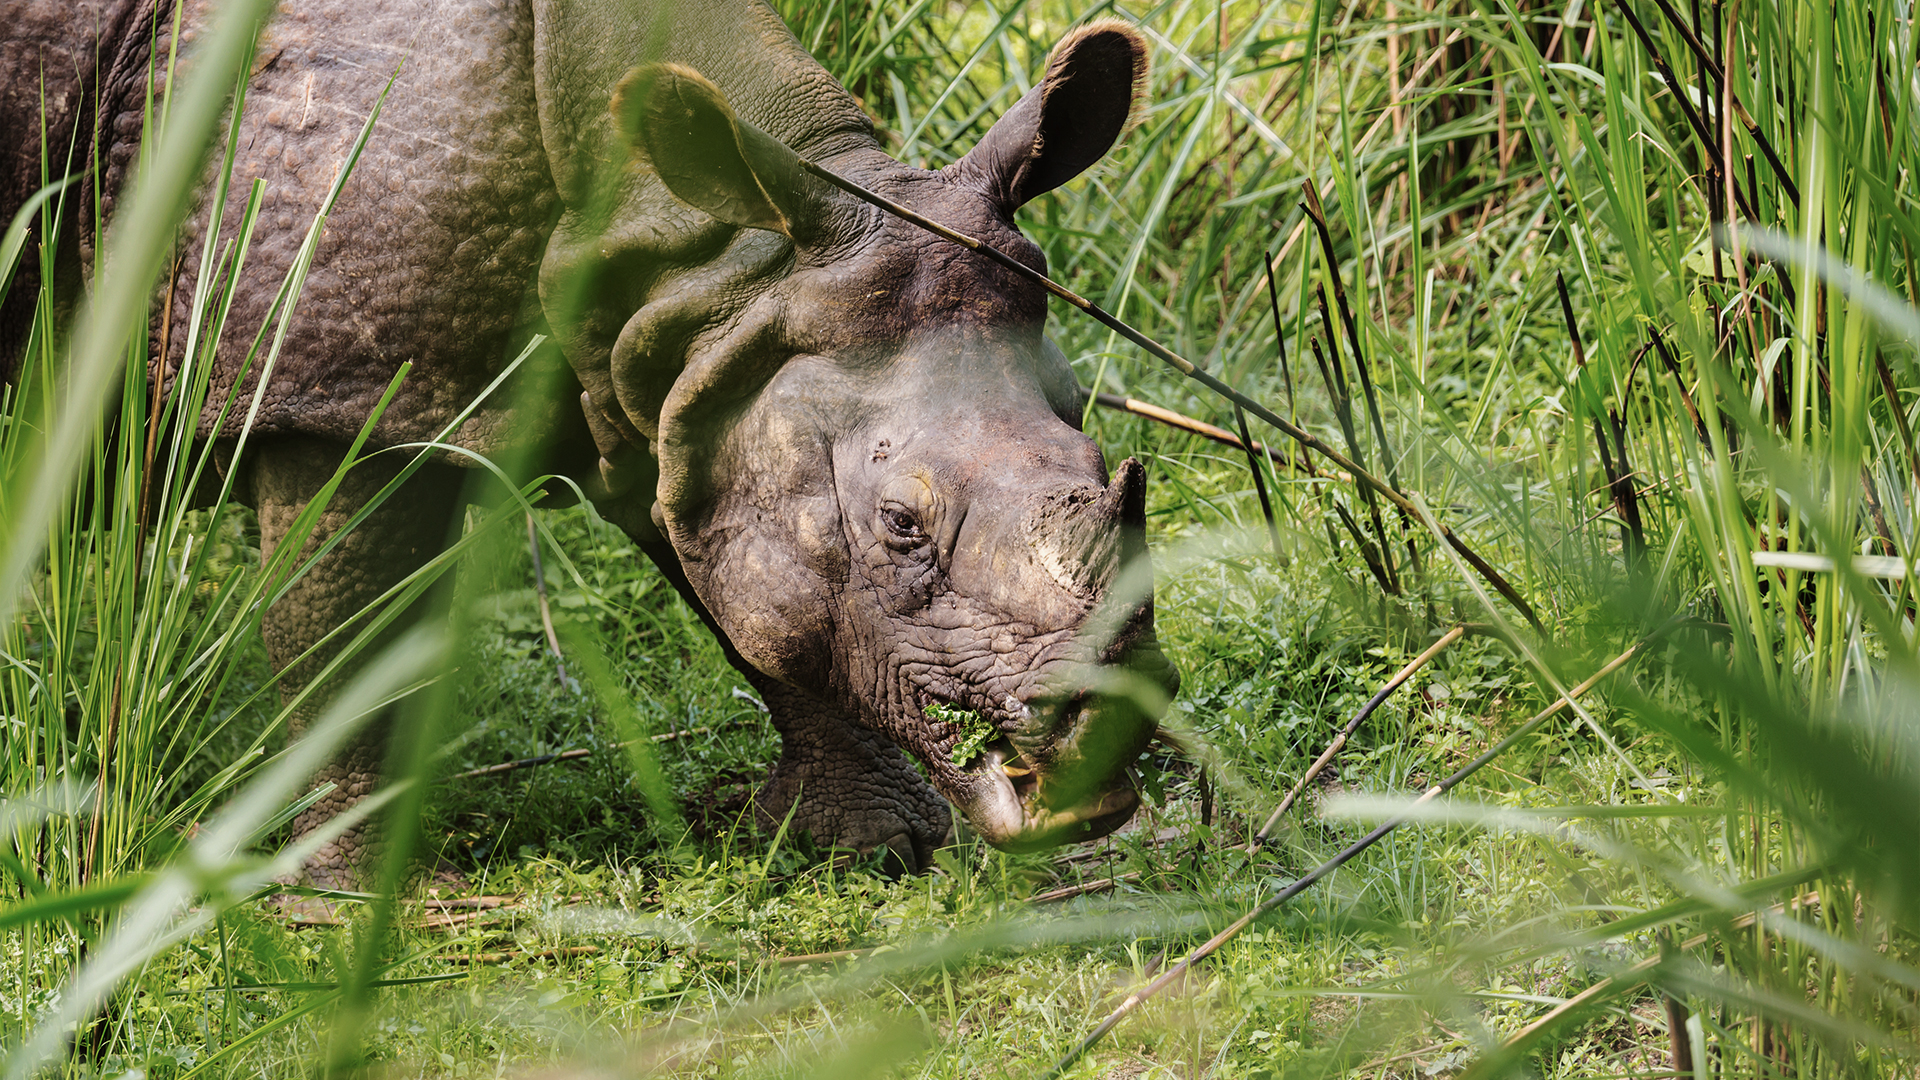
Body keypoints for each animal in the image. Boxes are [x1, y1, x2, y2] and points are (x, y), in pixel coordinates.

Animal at [1, 0, 1179, 880]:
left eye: (1098, 455)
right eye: (900, 525)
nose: (1104, 743)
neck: (695, 240)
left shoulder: (681, 357)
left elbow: (740, 581)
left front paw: (868, 847)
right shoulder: (335, 390)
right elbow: (342, 644)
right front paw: (350, 899)